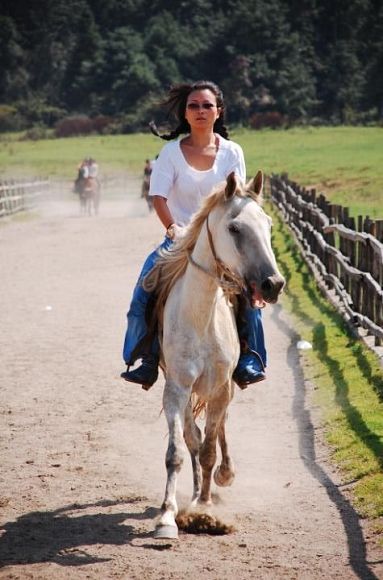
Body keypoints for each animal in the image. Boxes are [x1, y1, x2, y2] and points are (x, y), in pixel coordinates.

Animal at [146, 171, 286, 540]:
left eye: (268, 224)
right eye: (234, 228)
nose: (273, 284)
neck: (201, 317)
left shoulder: (222, 387)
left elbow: (210, 448)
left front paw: (206, 506)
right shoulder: (176, 388)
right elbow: (179, 450)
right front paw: (169, 517)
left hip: (224, 388)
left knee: (218, 428)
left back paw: (222, 477)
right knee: (193, 436)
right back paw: (195, 491)